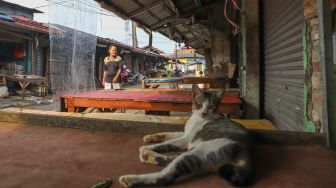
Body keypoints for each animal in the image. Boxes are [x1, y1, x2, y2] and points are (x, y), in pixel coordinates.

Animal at [119, 84, 253, 187]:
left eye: (211, 107)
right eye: (199, 104)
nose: (204, 112)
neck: (197, 118)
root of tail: (247, 154)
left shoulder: (185, 139)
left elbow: (165, 144)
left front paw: (145, 147)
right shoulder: (184, 133)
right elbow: (168, 134)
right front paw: (150, 137)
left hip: (200, 151)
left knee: (166, 177)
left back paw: (131, 178)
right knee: (169, 160)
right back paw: (150, 157)